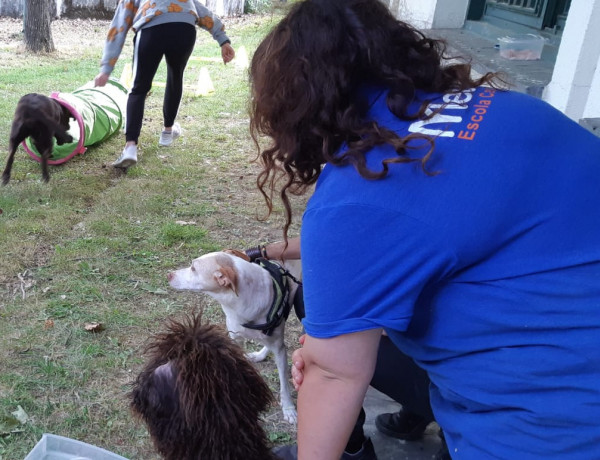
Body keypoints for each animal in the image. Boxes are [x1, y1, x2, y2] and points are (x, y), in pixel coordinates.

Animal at [168, 252, 300, 424]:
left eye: (193, 268)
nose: (169, 275)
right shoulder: (235, 339)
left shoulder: (280, 349)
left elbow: (284, 383)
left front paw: (289, 408)